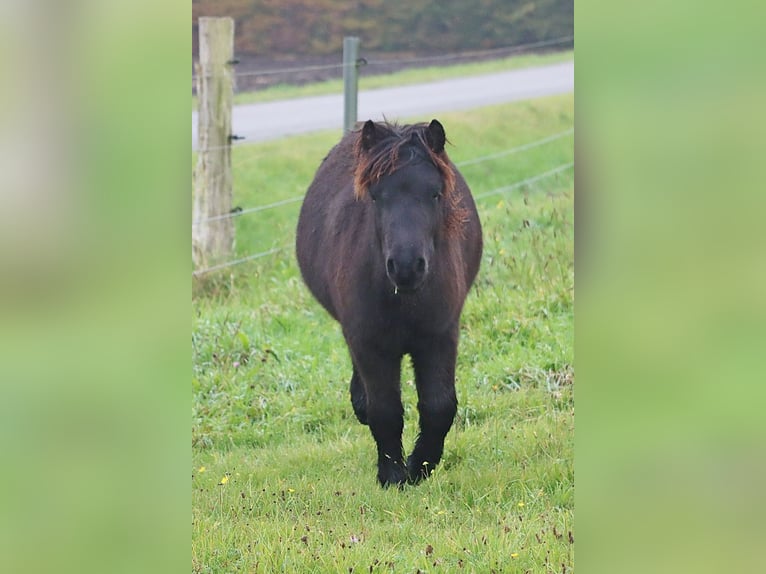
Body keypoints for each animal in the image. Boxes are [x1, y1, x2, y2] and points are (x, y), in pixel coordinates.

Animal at [296, 121, 484, 490]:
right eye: (375, 196)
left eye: (435, 194)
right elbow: (385, 410)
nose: (407, 267)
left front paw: (420, 466)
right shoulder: (370, 342)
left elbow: (439, 406)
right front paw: (393, 475)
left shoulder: (440, 337)